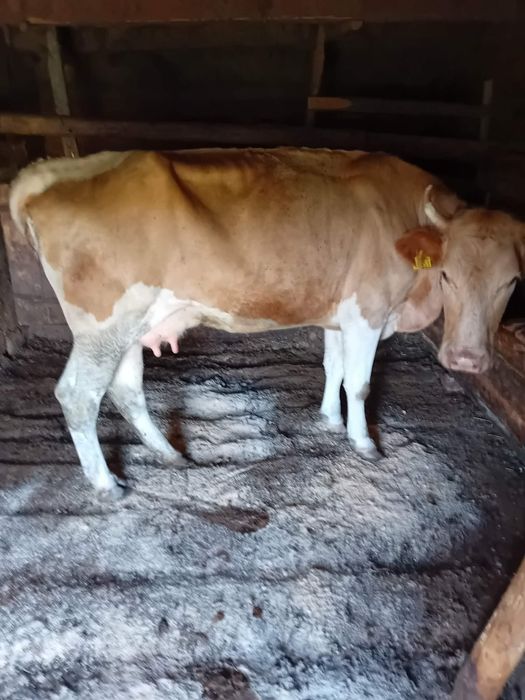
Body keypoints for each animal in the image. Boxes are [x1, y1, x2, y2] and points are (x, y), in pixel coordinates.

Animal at [9, 148, 524, 499]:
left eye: (513, 280)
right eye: (447, 274)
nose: (467, 359)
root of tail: (51, 172)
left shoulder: (338, 313)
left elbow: (333, 368)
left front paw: (329, 420)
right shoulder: (367, 311)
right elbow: (358, 383)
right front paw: (362, 442)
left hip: (130, 328)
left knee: (126, 388)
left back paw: (168, 453)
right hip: (103, 325)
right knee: (78, 395)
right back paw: (106, 484)